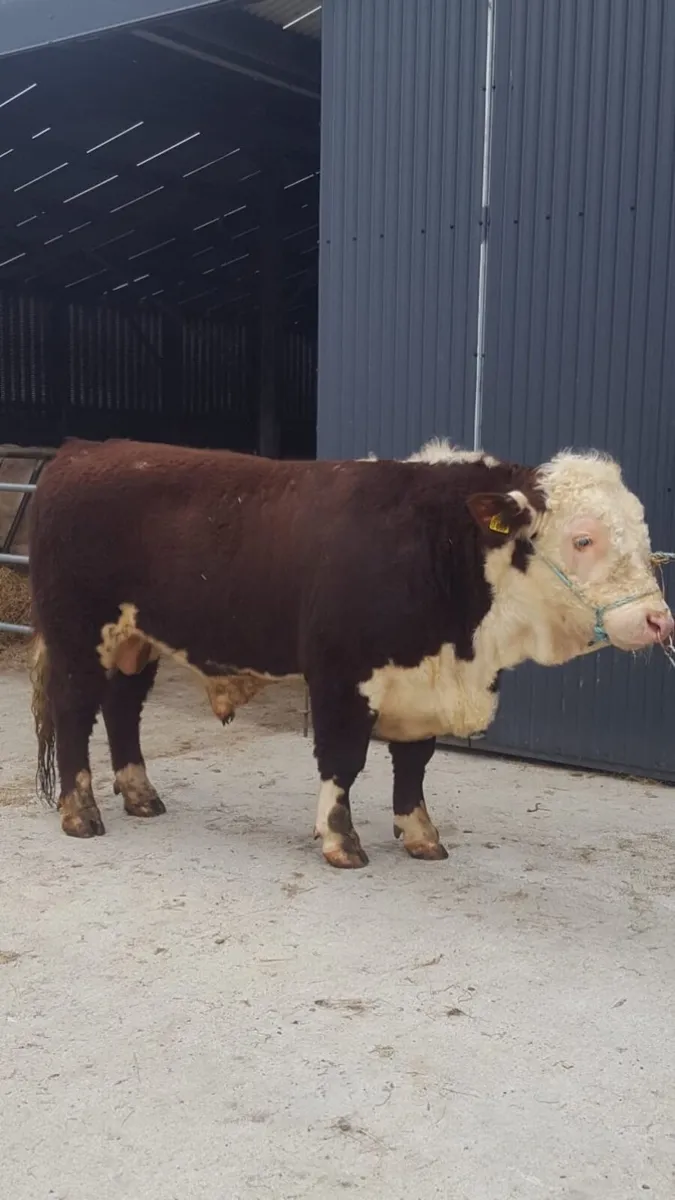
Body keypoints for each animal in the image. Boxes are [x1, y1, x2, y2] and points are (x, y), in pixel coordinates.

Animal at [28, 436, 672, 868]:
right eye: (583, 538)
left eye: (644, 538)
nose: (657, 620)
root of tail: (84, 449)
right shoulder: (340, 675)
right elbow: (343, 759)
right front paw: (341, 840)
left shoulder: (419, 682)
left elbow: (414, 763)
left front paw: (421, 834)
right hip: (77, 634)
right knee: (75, 711)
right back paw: (80, 812)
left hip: (136, 639)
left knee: (123, 709)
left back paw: (141, 794)